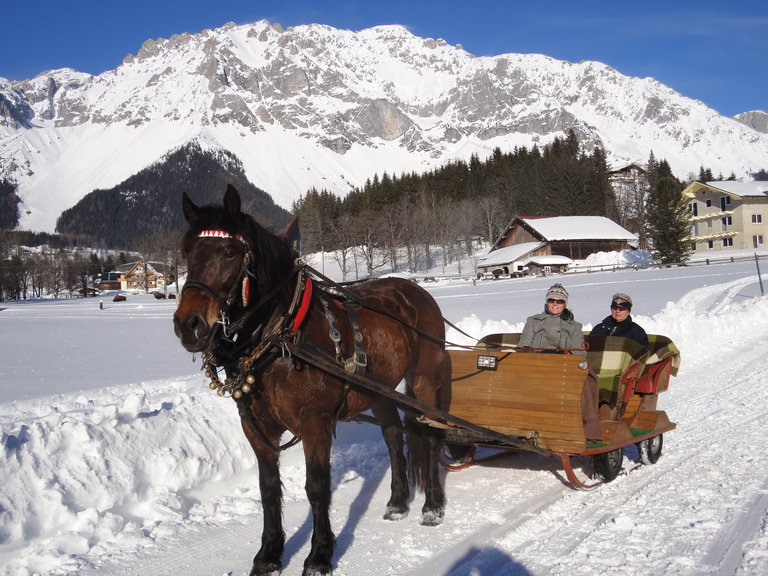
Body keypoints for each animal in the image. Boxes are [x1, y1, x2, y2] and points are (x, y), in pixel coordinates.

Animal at [174, 186, 450, 576]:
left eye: (229, 252)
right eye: (187, 253)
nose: (189, 325)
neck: (281, 336)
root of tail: (416, 292)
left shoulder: (314, 422)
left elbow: (317, 487)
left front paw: (319, 554)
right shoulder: (256, 426)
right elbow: (269, 489)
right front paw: (269, 554)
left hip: (425, 379)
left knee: (430, 434)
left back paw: (432, 506)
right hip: (377, 391)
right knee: (394, 438)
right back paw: (398, 502)